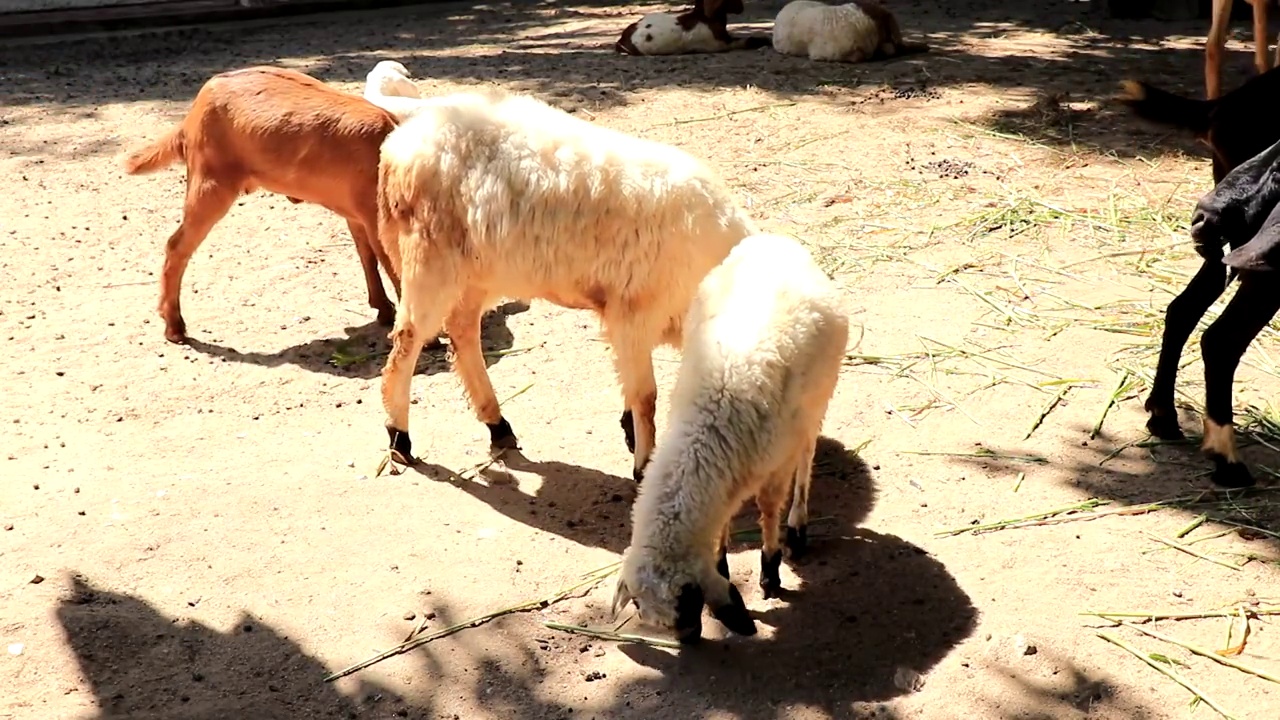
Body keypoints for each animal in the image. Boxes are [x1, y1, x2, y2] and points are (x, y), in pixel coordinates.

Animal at [120, 64, 399, 340]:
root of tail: (194, 110)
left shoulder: (359, 215)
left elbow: (369, 256)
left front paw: (385, 311)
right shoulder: (377, 219)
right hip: (210, 186)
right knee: (177, 245)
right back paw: (174, 326)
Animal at [373, 90, 752, 481]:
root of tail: (403, 139)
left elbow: (633, 387)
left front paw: (629, 431)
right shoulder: (634, 314)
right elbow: (646, 397)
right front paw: (643, 463)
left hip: (478, 273)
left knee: (462, 333)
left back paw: (497, 424)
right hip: (429, 259)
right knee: (408, 341)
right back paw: (399, 436)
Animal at [616, 230, 855, 638]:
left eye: (689, 599)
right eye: (641, 609)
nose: (690, 639)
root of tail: (773, 238)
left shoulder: (775, 465)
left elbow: (769, 509)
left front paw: (770, 571)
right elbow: (725, 519)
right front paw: (723, 561)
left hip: (816, 404)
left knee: (806, 457)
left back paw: (798, 527)